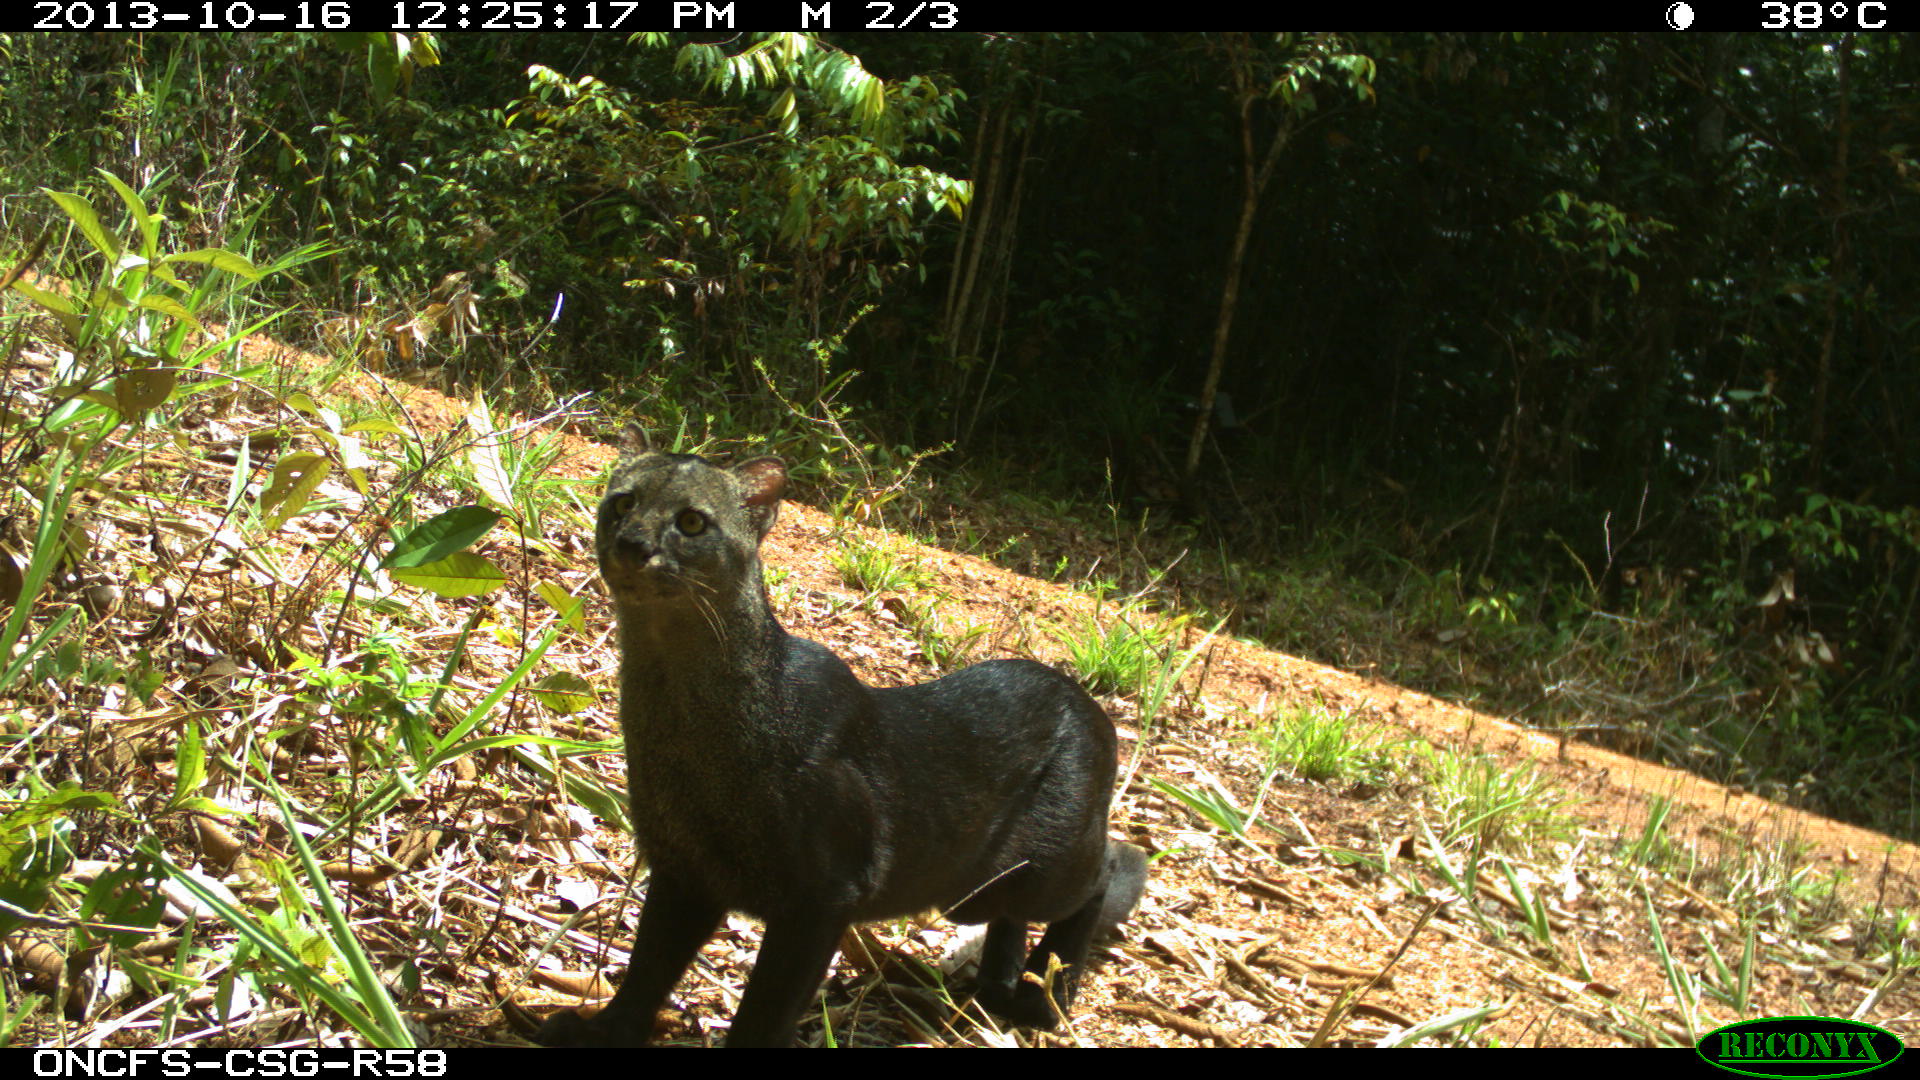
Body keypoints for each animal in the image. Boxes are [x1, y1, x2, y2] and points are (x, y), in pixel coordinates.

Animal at [533, 428, 1144, 1045]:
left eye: (691, 522)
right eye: (623, 503)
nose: (633, 542)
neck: (684, 714)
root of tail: (1089, 703)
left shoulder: (820, 896)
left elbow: (764, 1010)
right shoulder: (685, 871)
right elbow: (647, 970)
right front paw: (600, 1032)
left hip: (1035, 868)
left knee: (1111, 867)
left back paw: (1045, 1000)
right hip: (970, 892)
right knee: (1015, 915)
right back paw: (995, 988)